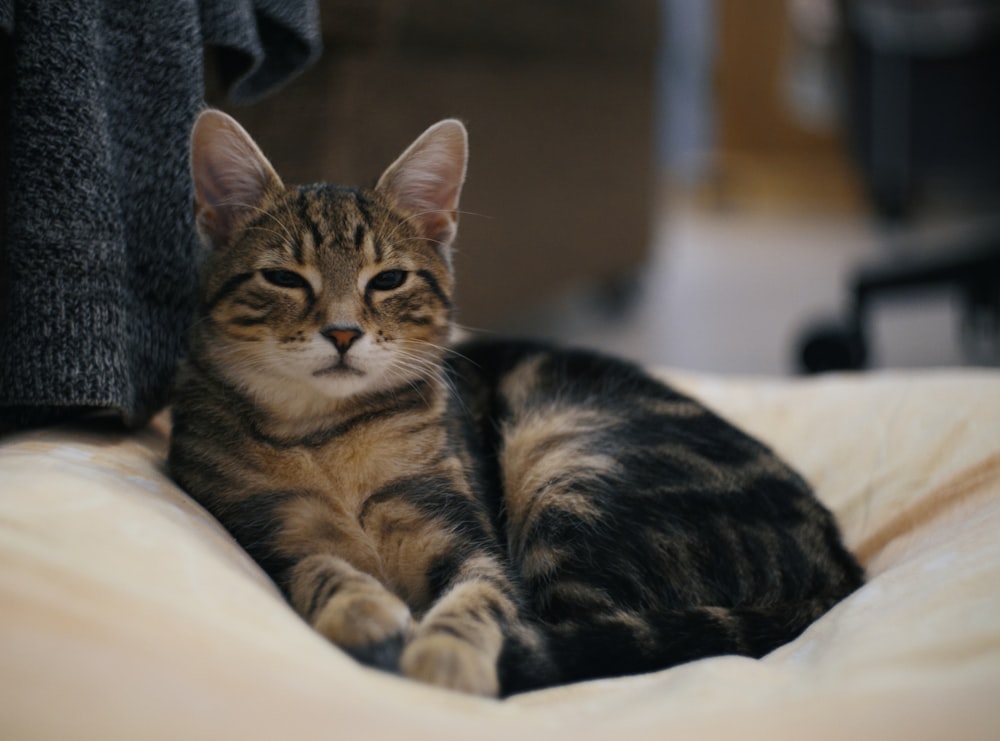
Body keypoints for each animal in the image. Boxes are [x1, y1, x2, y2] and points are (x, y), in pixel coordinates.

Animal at [168, 107, 864, 696]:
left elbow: (482, 597)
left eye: (388, 279)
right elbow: (315, 566)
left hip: (563, 465)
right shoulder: (267, 535)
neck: (327, 434)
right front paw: (362, 605)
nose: (342, 332)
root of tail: (840, 567)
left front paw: (445, 653)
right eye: (282, 277)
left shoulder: (467, 537)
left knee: (580, 635)